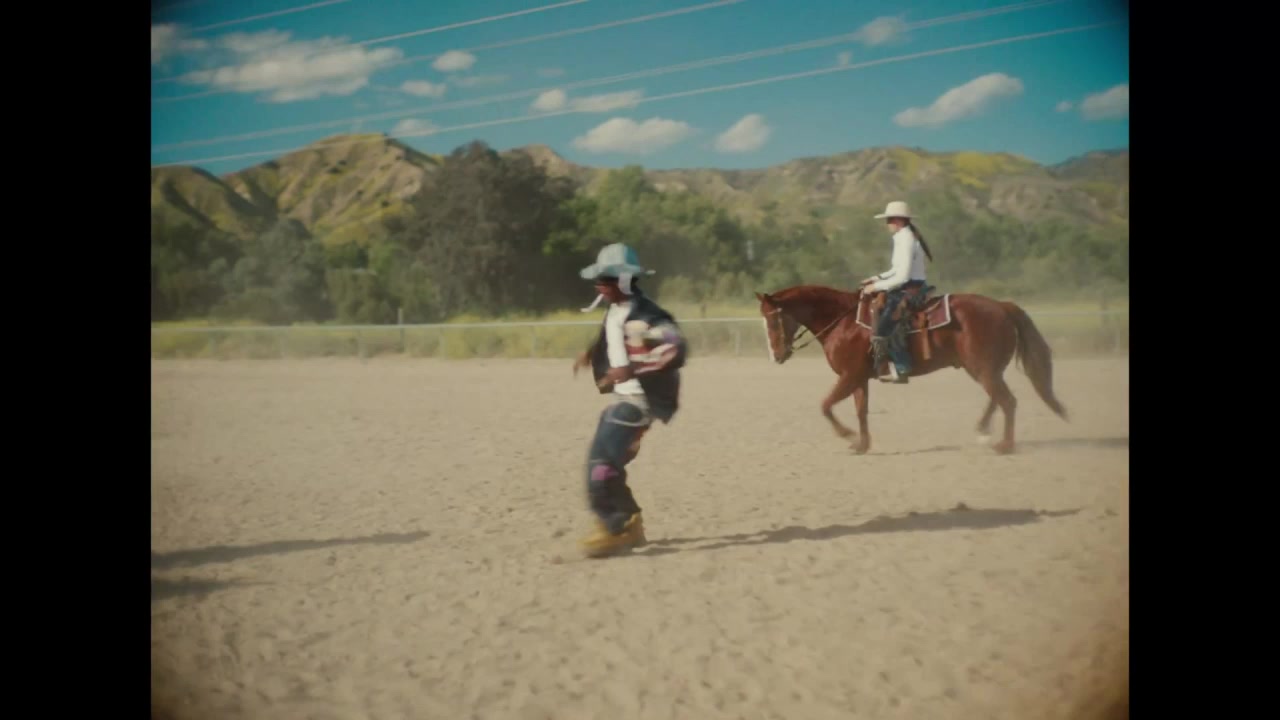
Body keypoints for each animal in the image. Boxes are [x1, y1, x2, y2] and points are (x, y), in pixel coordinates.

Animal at [754, 284, 1068, 455]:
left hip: (983, 369)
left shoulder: (849, 376)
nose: (776, 356)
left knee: (1008, 401)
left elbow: (825, 405)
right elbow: (861, 410)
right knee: (998, 398)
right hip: (984, 369)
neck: (843, 321)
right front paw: (862, 444)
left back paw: (1005, 445)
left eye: (773, 320)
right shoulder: (859, 378)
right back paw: (983, 430)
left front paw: (848, 436)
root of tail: (1002, 306)